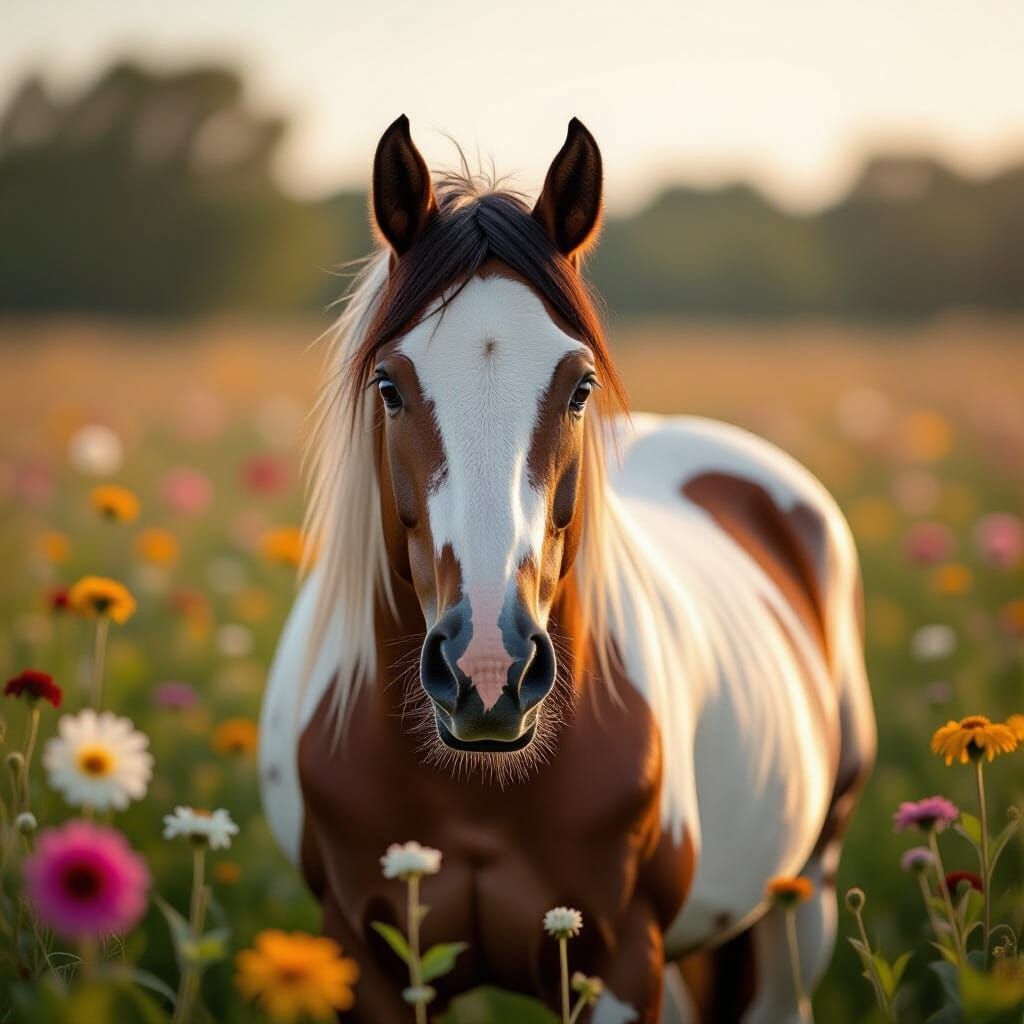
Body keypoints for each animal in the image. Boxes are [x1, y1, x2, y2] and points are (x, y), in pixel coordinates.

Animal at [259, 115, 876, 1023]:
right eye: (389, 385)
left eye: (581, 385)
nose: (487, 669)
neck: (477, 793)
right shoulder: (371, 962)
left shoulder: (619, 964)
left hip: (801, 907)